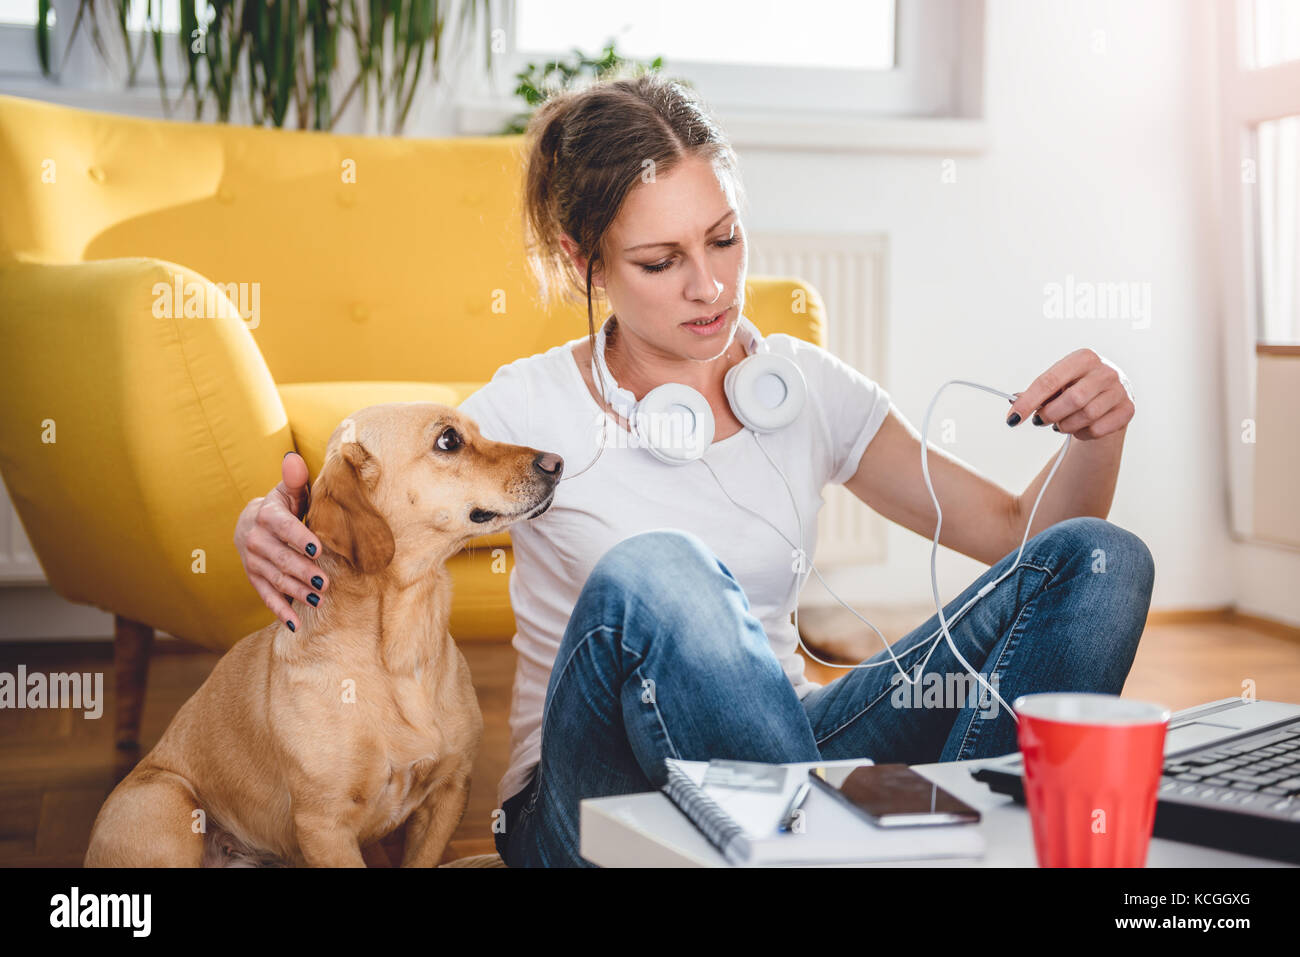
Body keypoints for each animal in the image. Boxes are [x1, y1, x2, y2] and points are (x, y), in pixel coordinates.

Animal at [83, 403, 561, 868]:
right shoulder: (324, 826)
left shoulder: (448, 793)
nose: (557, 462)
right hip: (167, 803)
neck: (397, 654)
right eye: (448, 440)